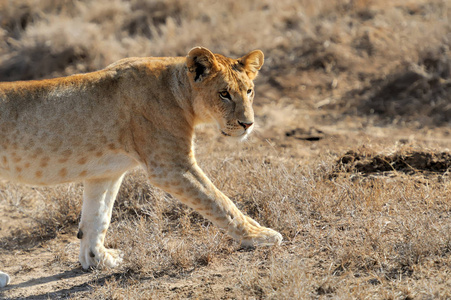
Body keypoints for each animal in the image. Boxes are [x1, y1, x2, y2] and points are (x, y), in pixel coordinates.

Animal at [0, 46, 282, 286]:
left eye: (249, 91)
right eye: (224, 93)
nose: (248, 124)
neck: (180, 92)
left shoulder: (106, 172)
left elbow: (97, 218)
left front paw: (98, 260)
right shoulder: (171, 166)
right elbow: (220, 202)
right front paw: (260, 235)